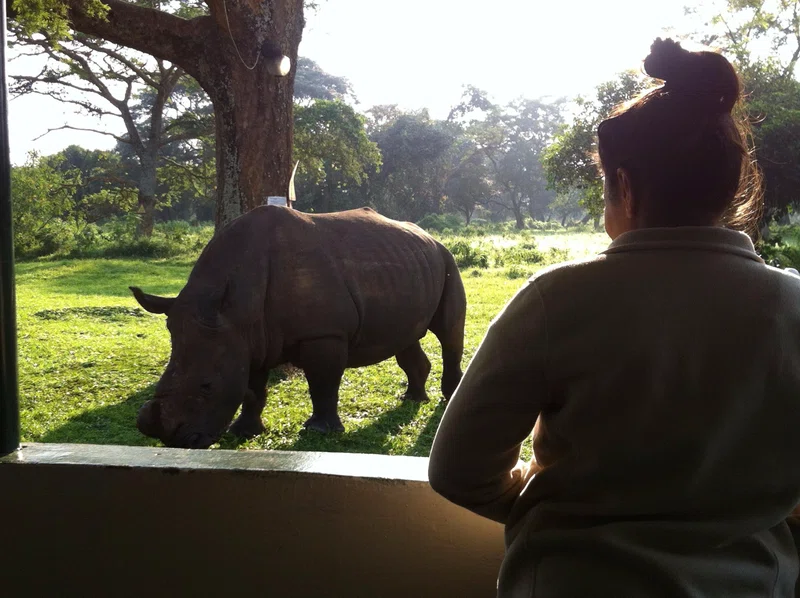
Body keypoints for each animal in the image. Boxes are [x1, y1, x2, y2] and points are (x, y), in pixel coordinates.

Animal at [130, 206, 467, 449]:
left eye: (207, 386)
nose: (174, 441)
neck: (239, 308)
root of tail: (430, 236)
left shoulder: (323, 333)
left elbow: (322, 383)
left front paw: (320, 431)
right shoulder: (247, 337)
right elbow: (252, 388)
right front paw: (244, 432)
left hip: (447, 260)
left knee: (449, 333)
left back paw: (448, 398)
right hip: (407, 266)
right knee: (407, 338)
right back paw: (412, 399)